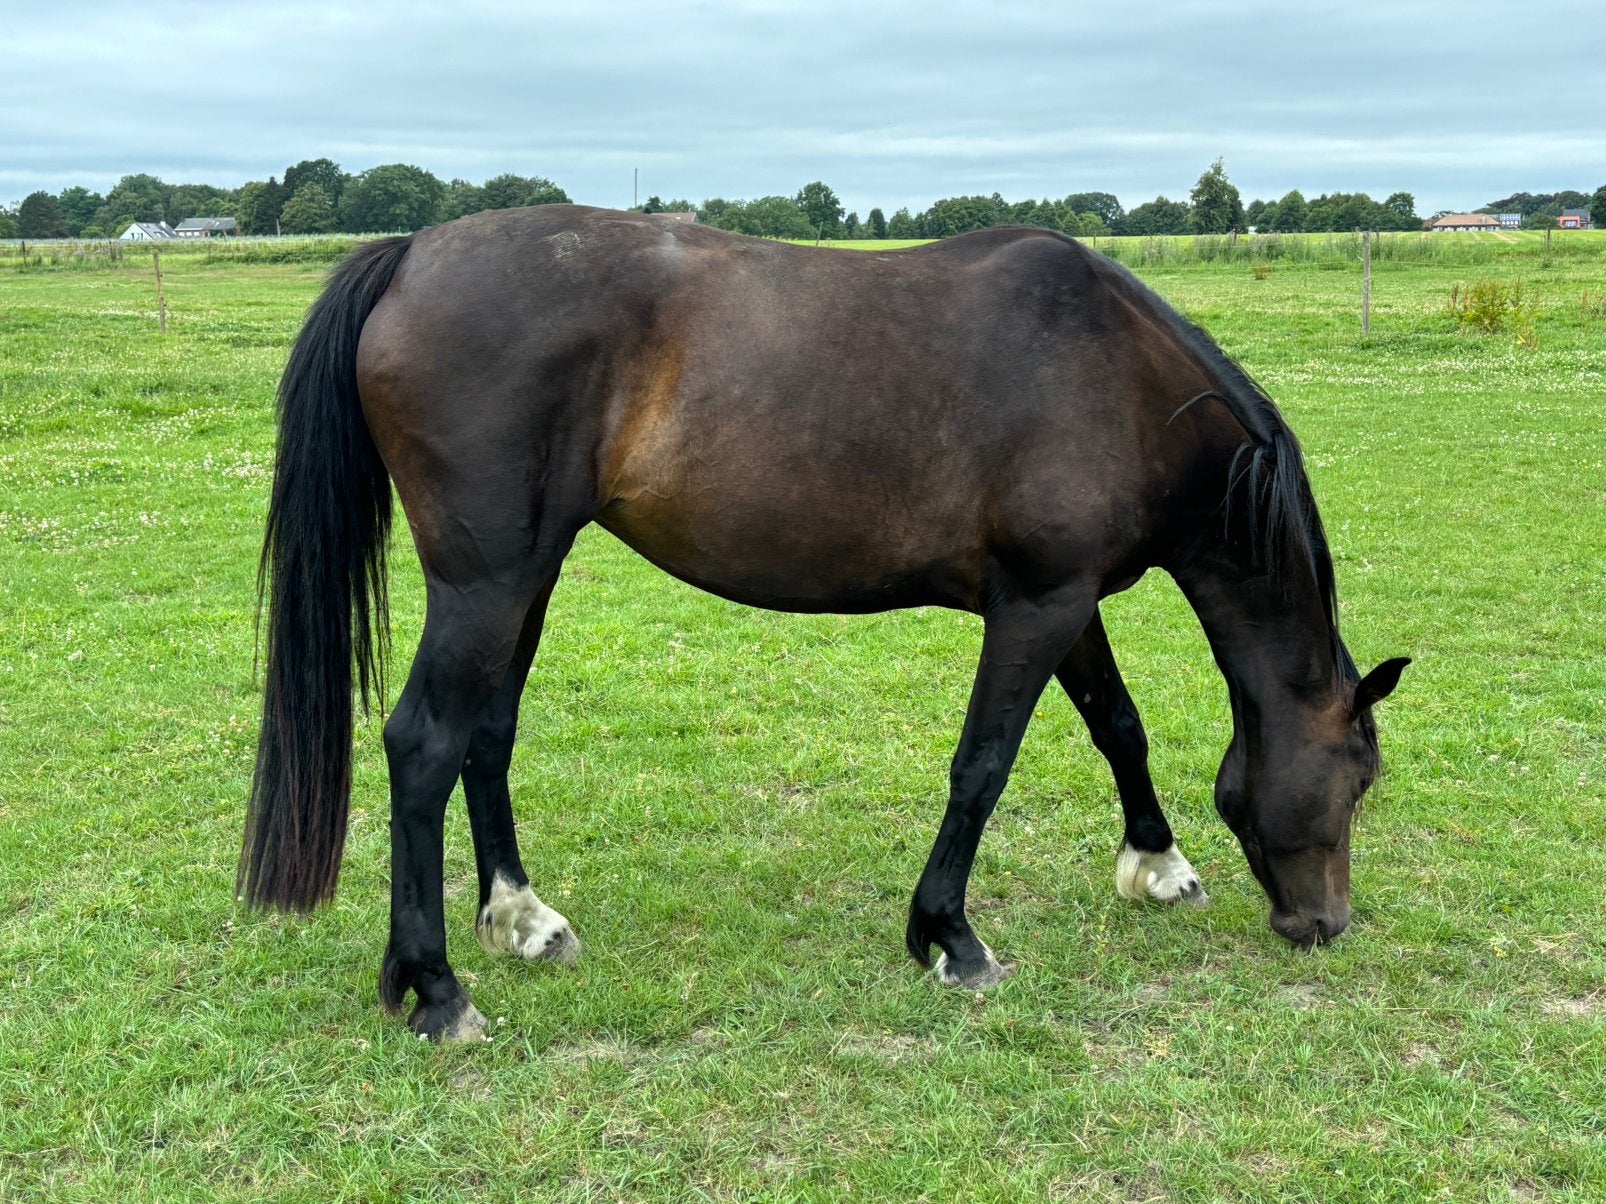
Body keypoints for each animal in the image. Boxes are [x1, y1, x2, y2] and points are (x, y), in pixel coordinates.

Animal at [239, 206, 1408, 1041]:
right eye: (1358, 779)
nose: (1323, 926)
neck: (1117, 378)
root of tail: (411, 255)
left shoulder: (1065, 601)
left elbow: (1118, 726)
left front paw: (1156, 866)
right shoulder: (1037, 606)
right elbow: (982, 765)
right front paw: (950, 937)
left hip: (528, 576)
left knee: (486, 736)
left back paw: (524, 918)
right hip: (487, 584)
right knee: (423, 745)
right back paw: (436, 991)